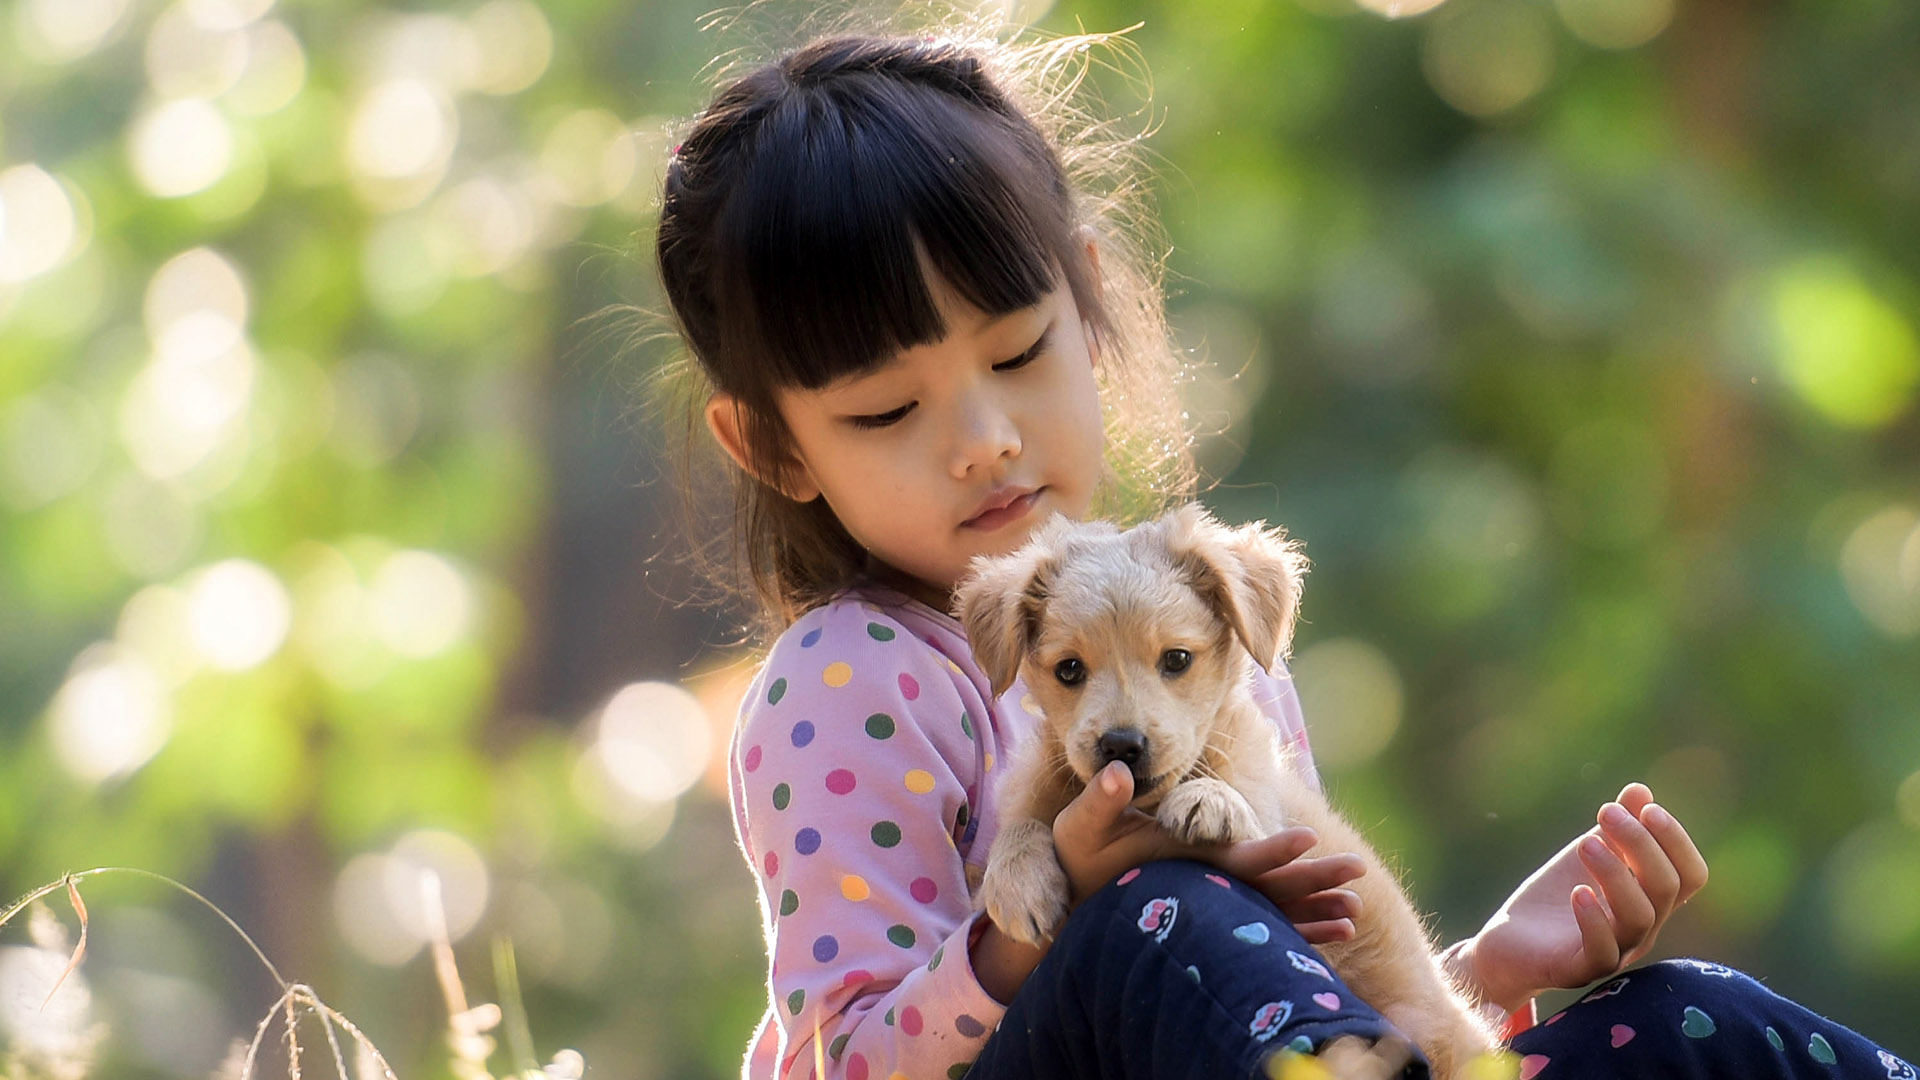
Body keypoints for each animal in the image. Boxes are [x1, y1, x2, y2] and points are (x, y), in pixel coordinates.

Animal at [956, 503, 1497, 1076]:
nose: (1122, 745)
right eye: (1069, 669)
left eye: (1176, 659)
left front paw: (1207, 799)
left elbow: (1230, 786)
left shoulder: (1267, 815)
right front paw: (1019, 884)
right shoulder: (1036, 788)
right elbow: (1020, 826)